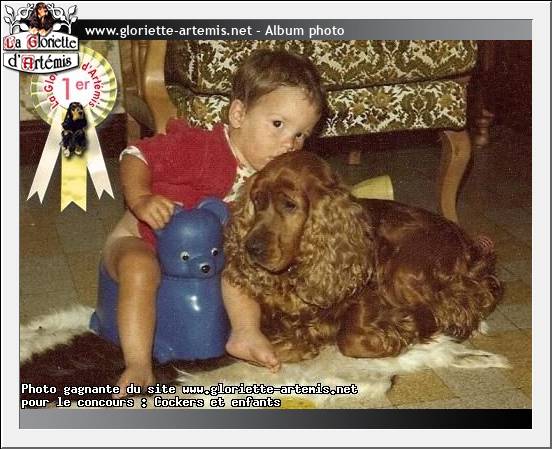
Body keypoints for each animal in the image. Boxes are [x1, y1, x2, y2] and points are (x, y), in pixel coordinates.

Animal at [223, 151, 502, 363]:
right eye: (257, 201)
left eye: (290, 204)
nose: (251, 247)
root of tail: (464, 240)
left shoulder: (368, 293)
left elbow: (349, 339)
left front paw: (397, 331)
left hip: (402, 271)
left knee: (463, 306)